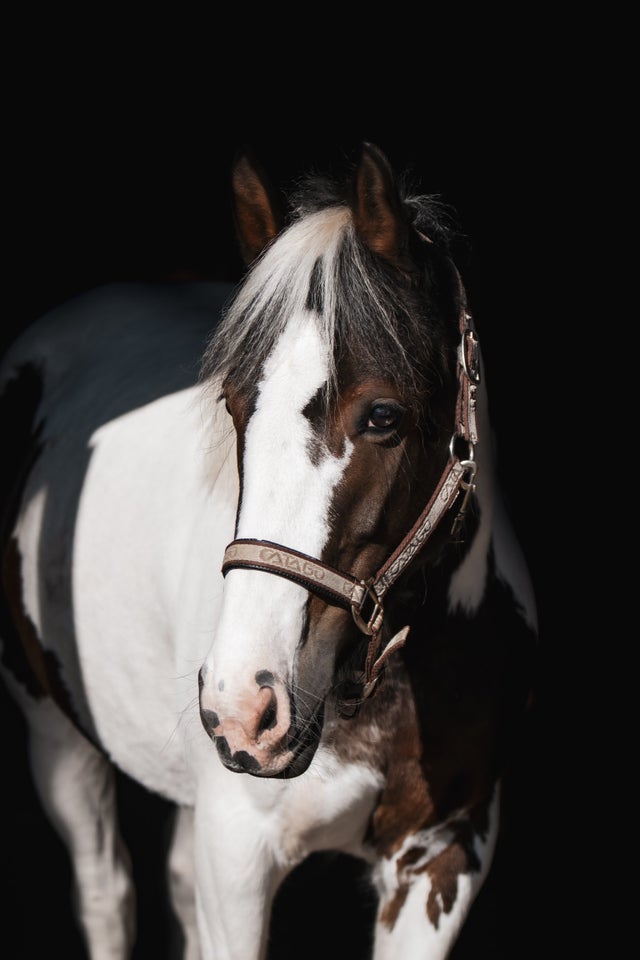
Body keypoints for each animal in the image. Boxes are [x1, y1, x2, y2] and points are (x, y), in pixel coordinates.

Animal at [1, 139, 536, 956]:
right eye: (233, 405)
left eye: (383, 415)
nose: (242, 706)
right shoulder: (239, 858)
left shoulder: (443, 858)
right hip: (53, 734)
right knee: (106, 894)